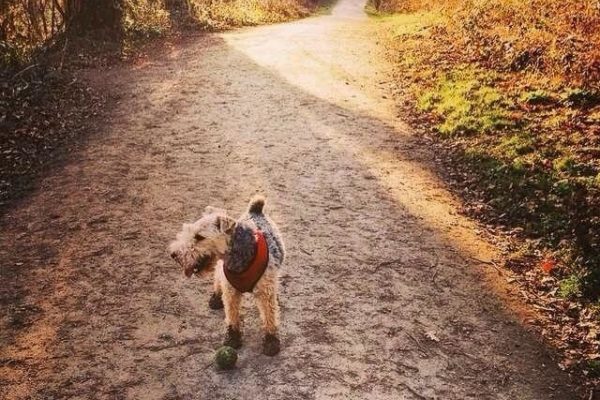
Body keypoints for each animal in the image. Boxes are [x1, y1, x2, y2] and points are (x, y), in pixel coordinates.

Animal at [166, 195, 284, 354]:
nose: (174, 254)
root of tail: (256, 209)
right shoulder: (230, 291)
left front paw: (271, 341)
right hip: (219, 269)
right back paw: (215, 298)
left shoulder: (265, 292)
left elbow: (269, 316)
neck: (240, 259)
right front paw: (232, 338)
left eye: (199, 237)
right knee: (217, 277)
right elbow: (232, 315)